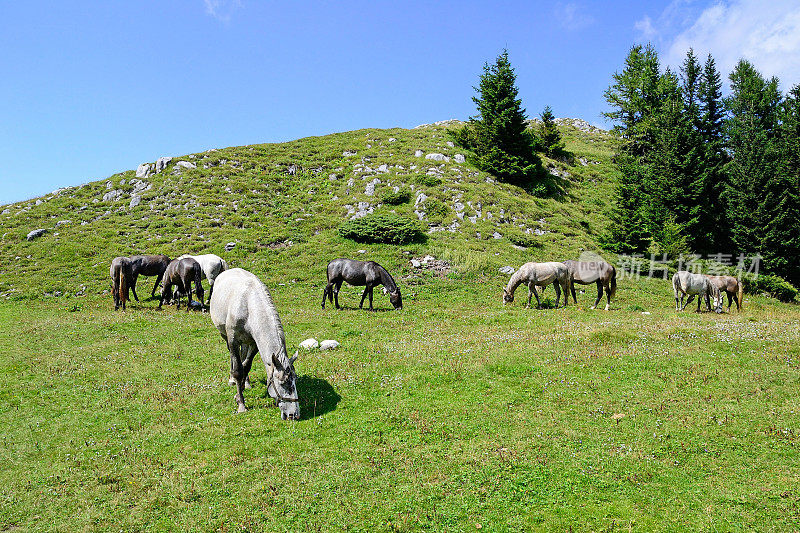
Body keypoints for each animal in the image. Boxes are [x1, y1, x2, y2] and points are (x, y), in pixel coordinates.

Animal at [209, 268, 300, 418]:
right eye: (282, 383)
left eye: (295, 380)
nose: (294, 415)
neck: (249, 306)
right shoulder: (233, 340)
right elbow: (238, 370)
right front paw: (241, 403)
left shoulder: (254, 344)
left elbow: (246, 366)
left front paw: (241, 390)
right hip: (225, 336)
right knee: (232, 356)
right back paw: (232, 380)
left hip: (245, 342)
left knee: (243, 356)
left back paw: (246, 383)